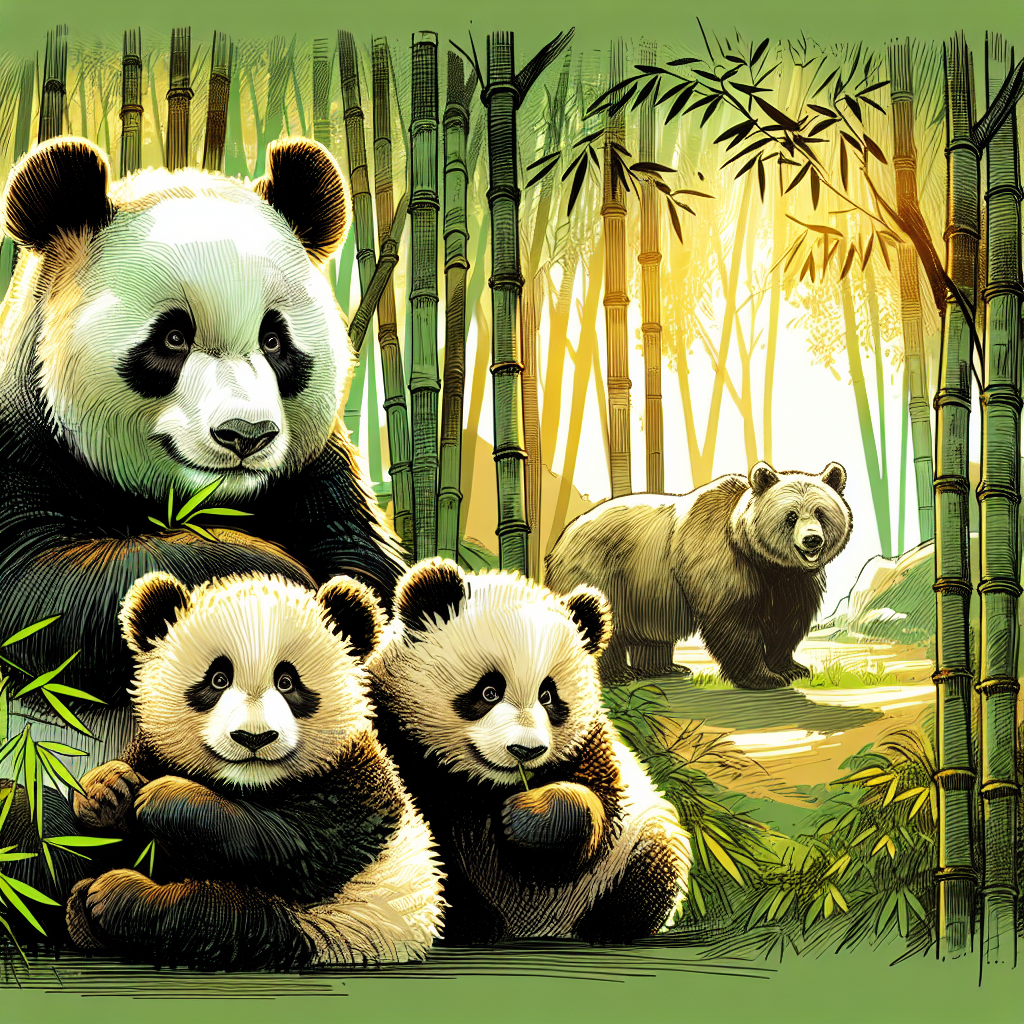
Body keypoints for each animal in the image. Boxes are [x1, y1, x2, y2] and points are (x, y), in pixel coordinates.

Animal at [0, 136, 406, 762]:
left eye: (274, 339)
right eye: (172, 337)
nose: (246, 435)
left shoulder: (316, 471)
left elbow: (369, 570)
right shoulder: (24, 452)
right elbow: (44, 592)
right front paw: (272, 579)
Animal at [64, 570, 444, 970]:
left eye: (287, 682)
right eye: (217, 679)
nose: (254, 737)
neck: (248, 785)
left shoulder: (352, 782)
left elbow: (299, 846)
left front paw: (166, 797)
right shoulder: (158, 752)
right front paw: (107, 791)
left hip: (339, 925)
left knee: (222, 919)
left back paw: (112, 898)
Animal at [366, 559, 691, 945]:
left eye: (548, 696)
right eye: (489, 691)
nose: (526, 750)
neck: (485, 785)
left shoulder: (589, 746)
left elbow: (596, 812)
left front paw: (532, 816)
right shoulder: (397, 737)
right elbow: (424, 837)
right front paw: (471, 921)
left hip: (630, 849)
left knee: (654, 862)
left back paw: (610, 924)